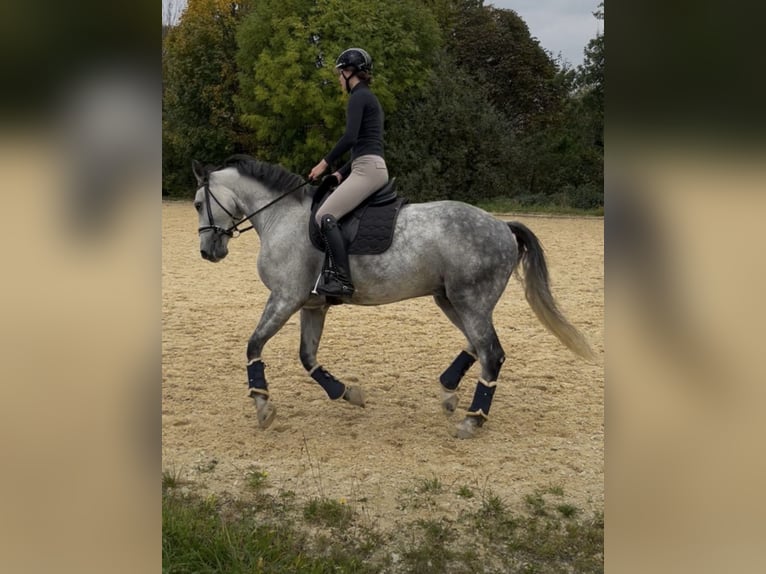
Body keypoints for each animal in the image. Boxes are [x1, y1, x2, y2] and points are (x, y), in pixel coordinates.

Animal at [192, 155, 594, 439]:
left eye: (198, 203)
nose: (208, 252)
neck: (282, 217)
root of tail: (502, 226)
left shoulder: (285, 298)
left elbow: (254, 345)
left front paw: (262, 405)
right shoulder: (311, 305)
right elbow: (308, 358)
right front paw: (347, 392)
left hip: (470, 301)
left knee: (491, 353)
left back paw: (472, 420)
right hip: (452, 300)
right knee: (477, 347)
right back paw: (449, 392)